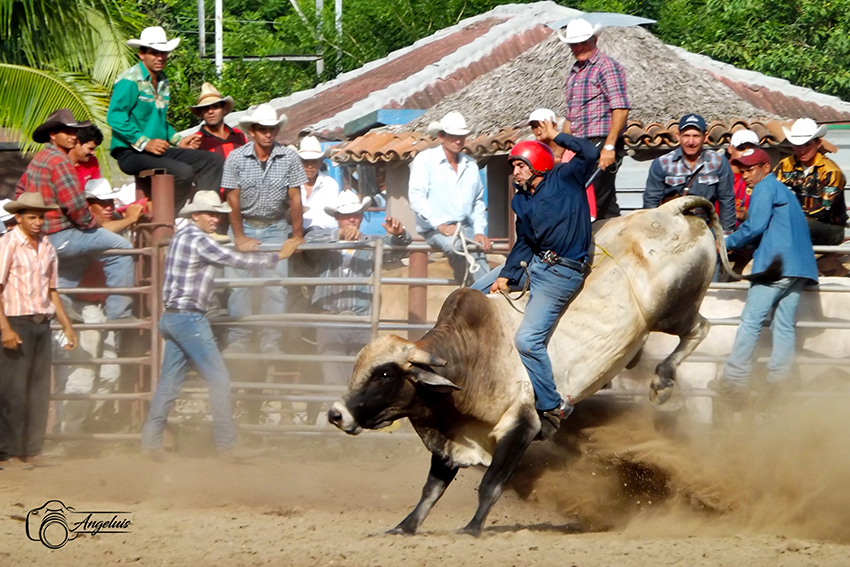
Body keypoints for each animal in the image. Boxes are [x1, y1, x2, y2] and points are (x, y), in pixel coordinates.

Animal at [328, 196, 740, 536]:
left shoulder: (522, 425)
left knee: (698, 329)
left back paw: (664, 380)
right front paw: (403, 527)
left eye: (384, 374)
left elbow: (491, 484)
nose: (335, 414)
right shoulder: (454, 434)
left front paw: (472, 529)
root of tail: (671, 209)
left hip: (672, 310)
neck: (473, 359)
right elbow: (431, 489)